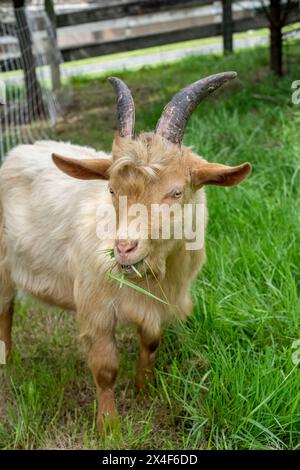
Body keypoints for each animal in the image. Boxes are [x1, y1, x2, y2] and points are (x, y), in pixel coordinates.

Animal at [0, 72, 251, 430]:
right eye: (111, 189)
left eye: (176, 192)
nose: (123, 247)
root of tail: (17, 152)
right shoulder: (96, 308)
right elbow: (105, 370)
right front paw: (109, 428)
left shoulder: (159, 305)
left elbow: (151, 344)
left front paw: (145, 389)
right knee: (5, 312)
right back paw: (8, 363)